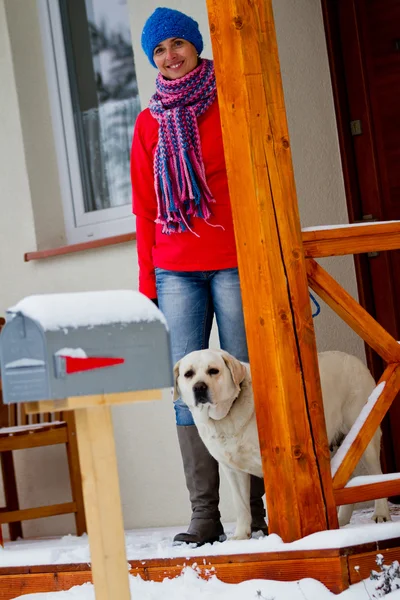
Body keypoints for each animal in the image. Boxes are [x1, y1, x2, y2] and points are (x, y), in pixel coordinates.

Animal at [175, 346, 390, 540]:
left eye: (213, 370)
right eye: (188, 374)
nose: (199, 387)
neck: (226, 416)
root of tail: (353, 359)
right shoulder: (232, 470)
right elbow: (241, 505)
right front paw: (241, 537)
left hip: (365, 435)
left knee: (378, 474)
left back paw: (381, 513)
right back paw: (343, 519)